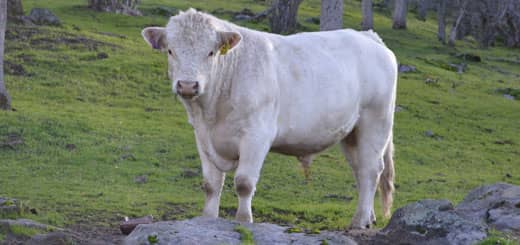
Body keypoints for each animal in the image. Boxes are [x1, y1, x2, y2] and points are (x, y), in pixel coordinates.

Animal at [140, 8, 396, 229]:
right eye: (171, 51)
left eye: (210, 52)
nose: (187, 85)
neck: (212, 111)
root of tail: (368, 36)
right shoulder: (202, 137)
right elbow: (211, 185)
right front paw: (208, 220)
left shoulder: (257, 135)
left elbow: (244, 183)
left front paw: (244, 221)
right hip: (352, 132)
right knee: (360, 170)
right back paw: (369, 217)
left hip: (376, 121)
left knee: (371, 169)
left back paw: (359, 221)